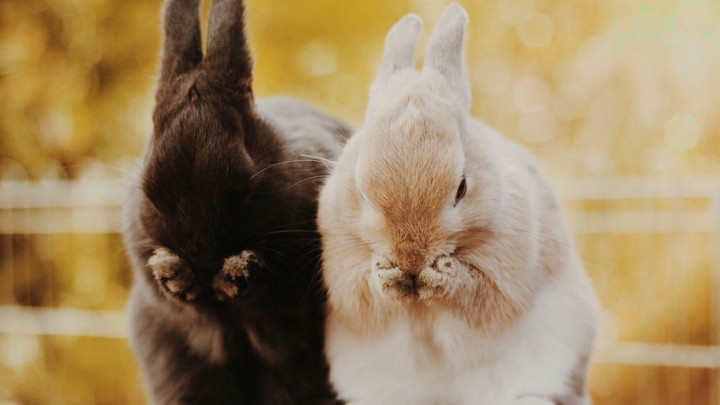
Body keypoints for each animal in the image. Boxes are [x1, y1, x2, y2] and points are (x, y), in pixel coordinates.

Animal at [317, 4, 598, 405]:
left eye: (462, 187)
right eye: (361, 191)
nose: (411, 257)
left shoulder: (506, 279)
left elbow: (477, 293)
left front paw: (440, 275)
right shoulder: (344, 277)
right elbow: (365, 296)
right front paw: (387, 274)